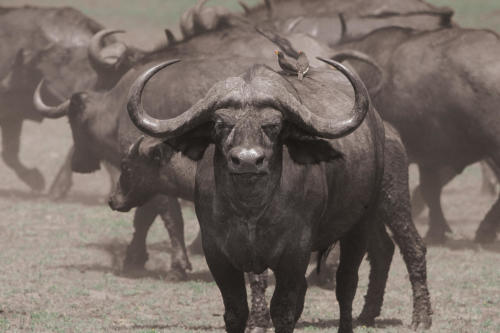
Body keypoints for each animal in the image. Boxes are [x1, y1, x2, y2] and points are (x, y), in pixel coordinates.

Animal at [127, 56, 432, 330]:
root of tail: (385, 130)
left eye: (273, 125)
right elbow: (236, 310)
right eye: (220, 124)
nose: (248, 160)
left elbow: (283, 310)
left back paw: (413, 318)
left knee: (350, 282)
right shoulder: (218, 254)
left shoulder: (294, 254)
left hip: (364, 221)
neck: (250, 209)